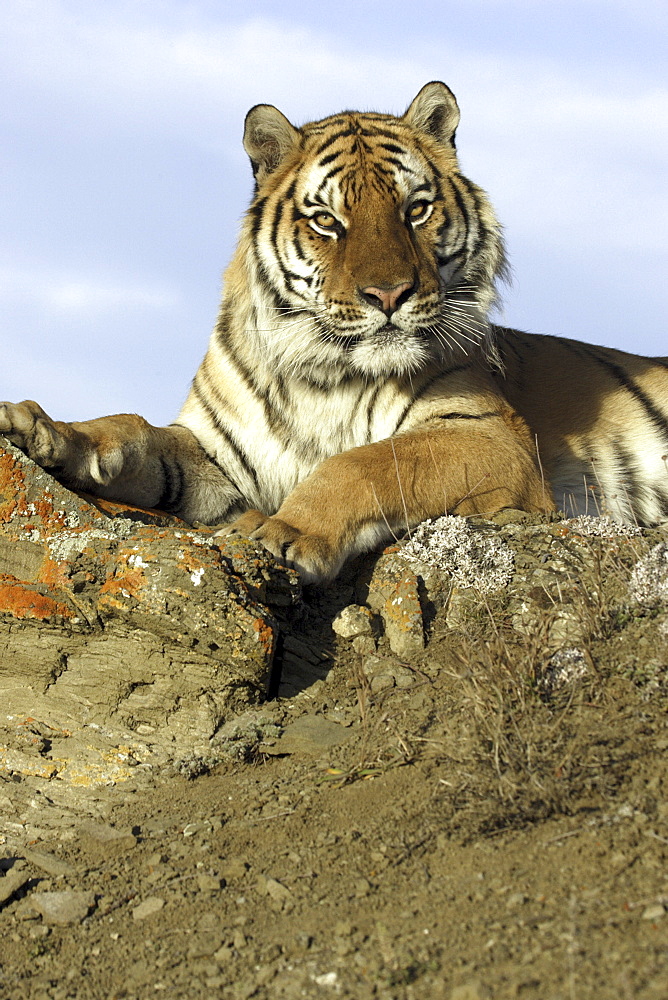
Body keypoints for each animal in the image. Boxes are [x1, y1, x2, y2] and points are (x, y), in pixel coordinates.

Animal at [1, 84, 668, 584]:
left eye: (415, 210)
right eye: (327, 221)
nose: (389, 294)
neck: (320, 373)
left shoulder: (489, 435)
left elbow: (364, 462)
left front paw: (286, 531)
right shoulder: (220, 455)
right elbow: (133, 430)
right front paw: (41, 428)